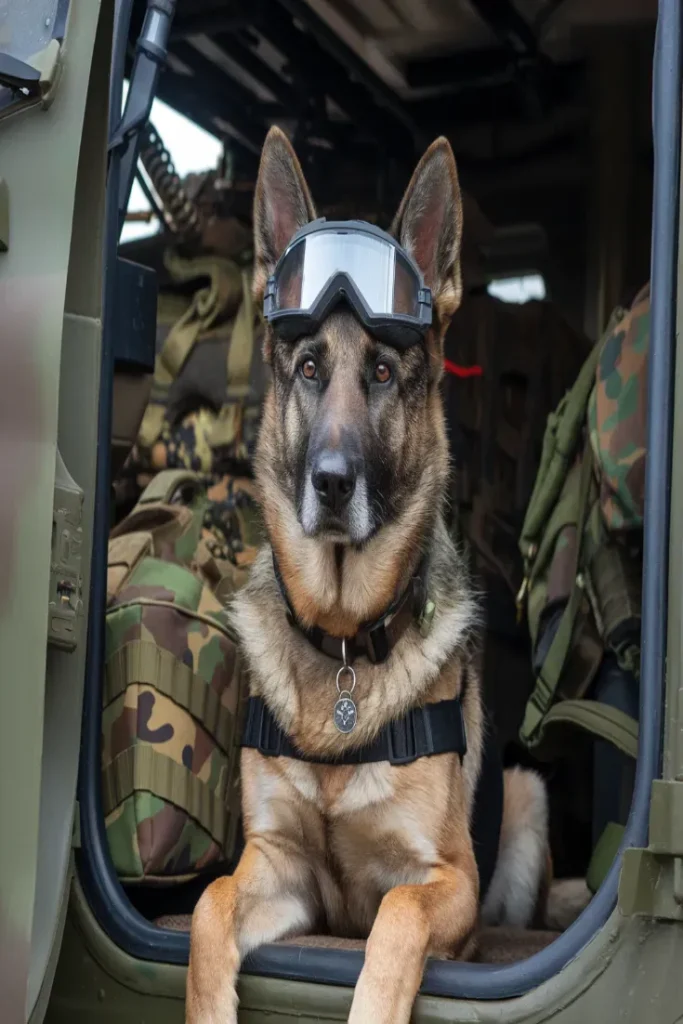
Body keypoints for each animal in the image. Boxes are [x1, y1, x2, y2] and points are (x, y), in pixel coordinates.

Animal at [185, 128, 548, 1024]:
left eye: (382, 373)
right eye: (309, 369)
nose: (331, 482)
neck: (346, 639)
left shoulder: (446, 882)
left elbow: (393, 916)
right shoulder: (280, 869)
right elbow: (208, 903)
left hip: (527, 798)